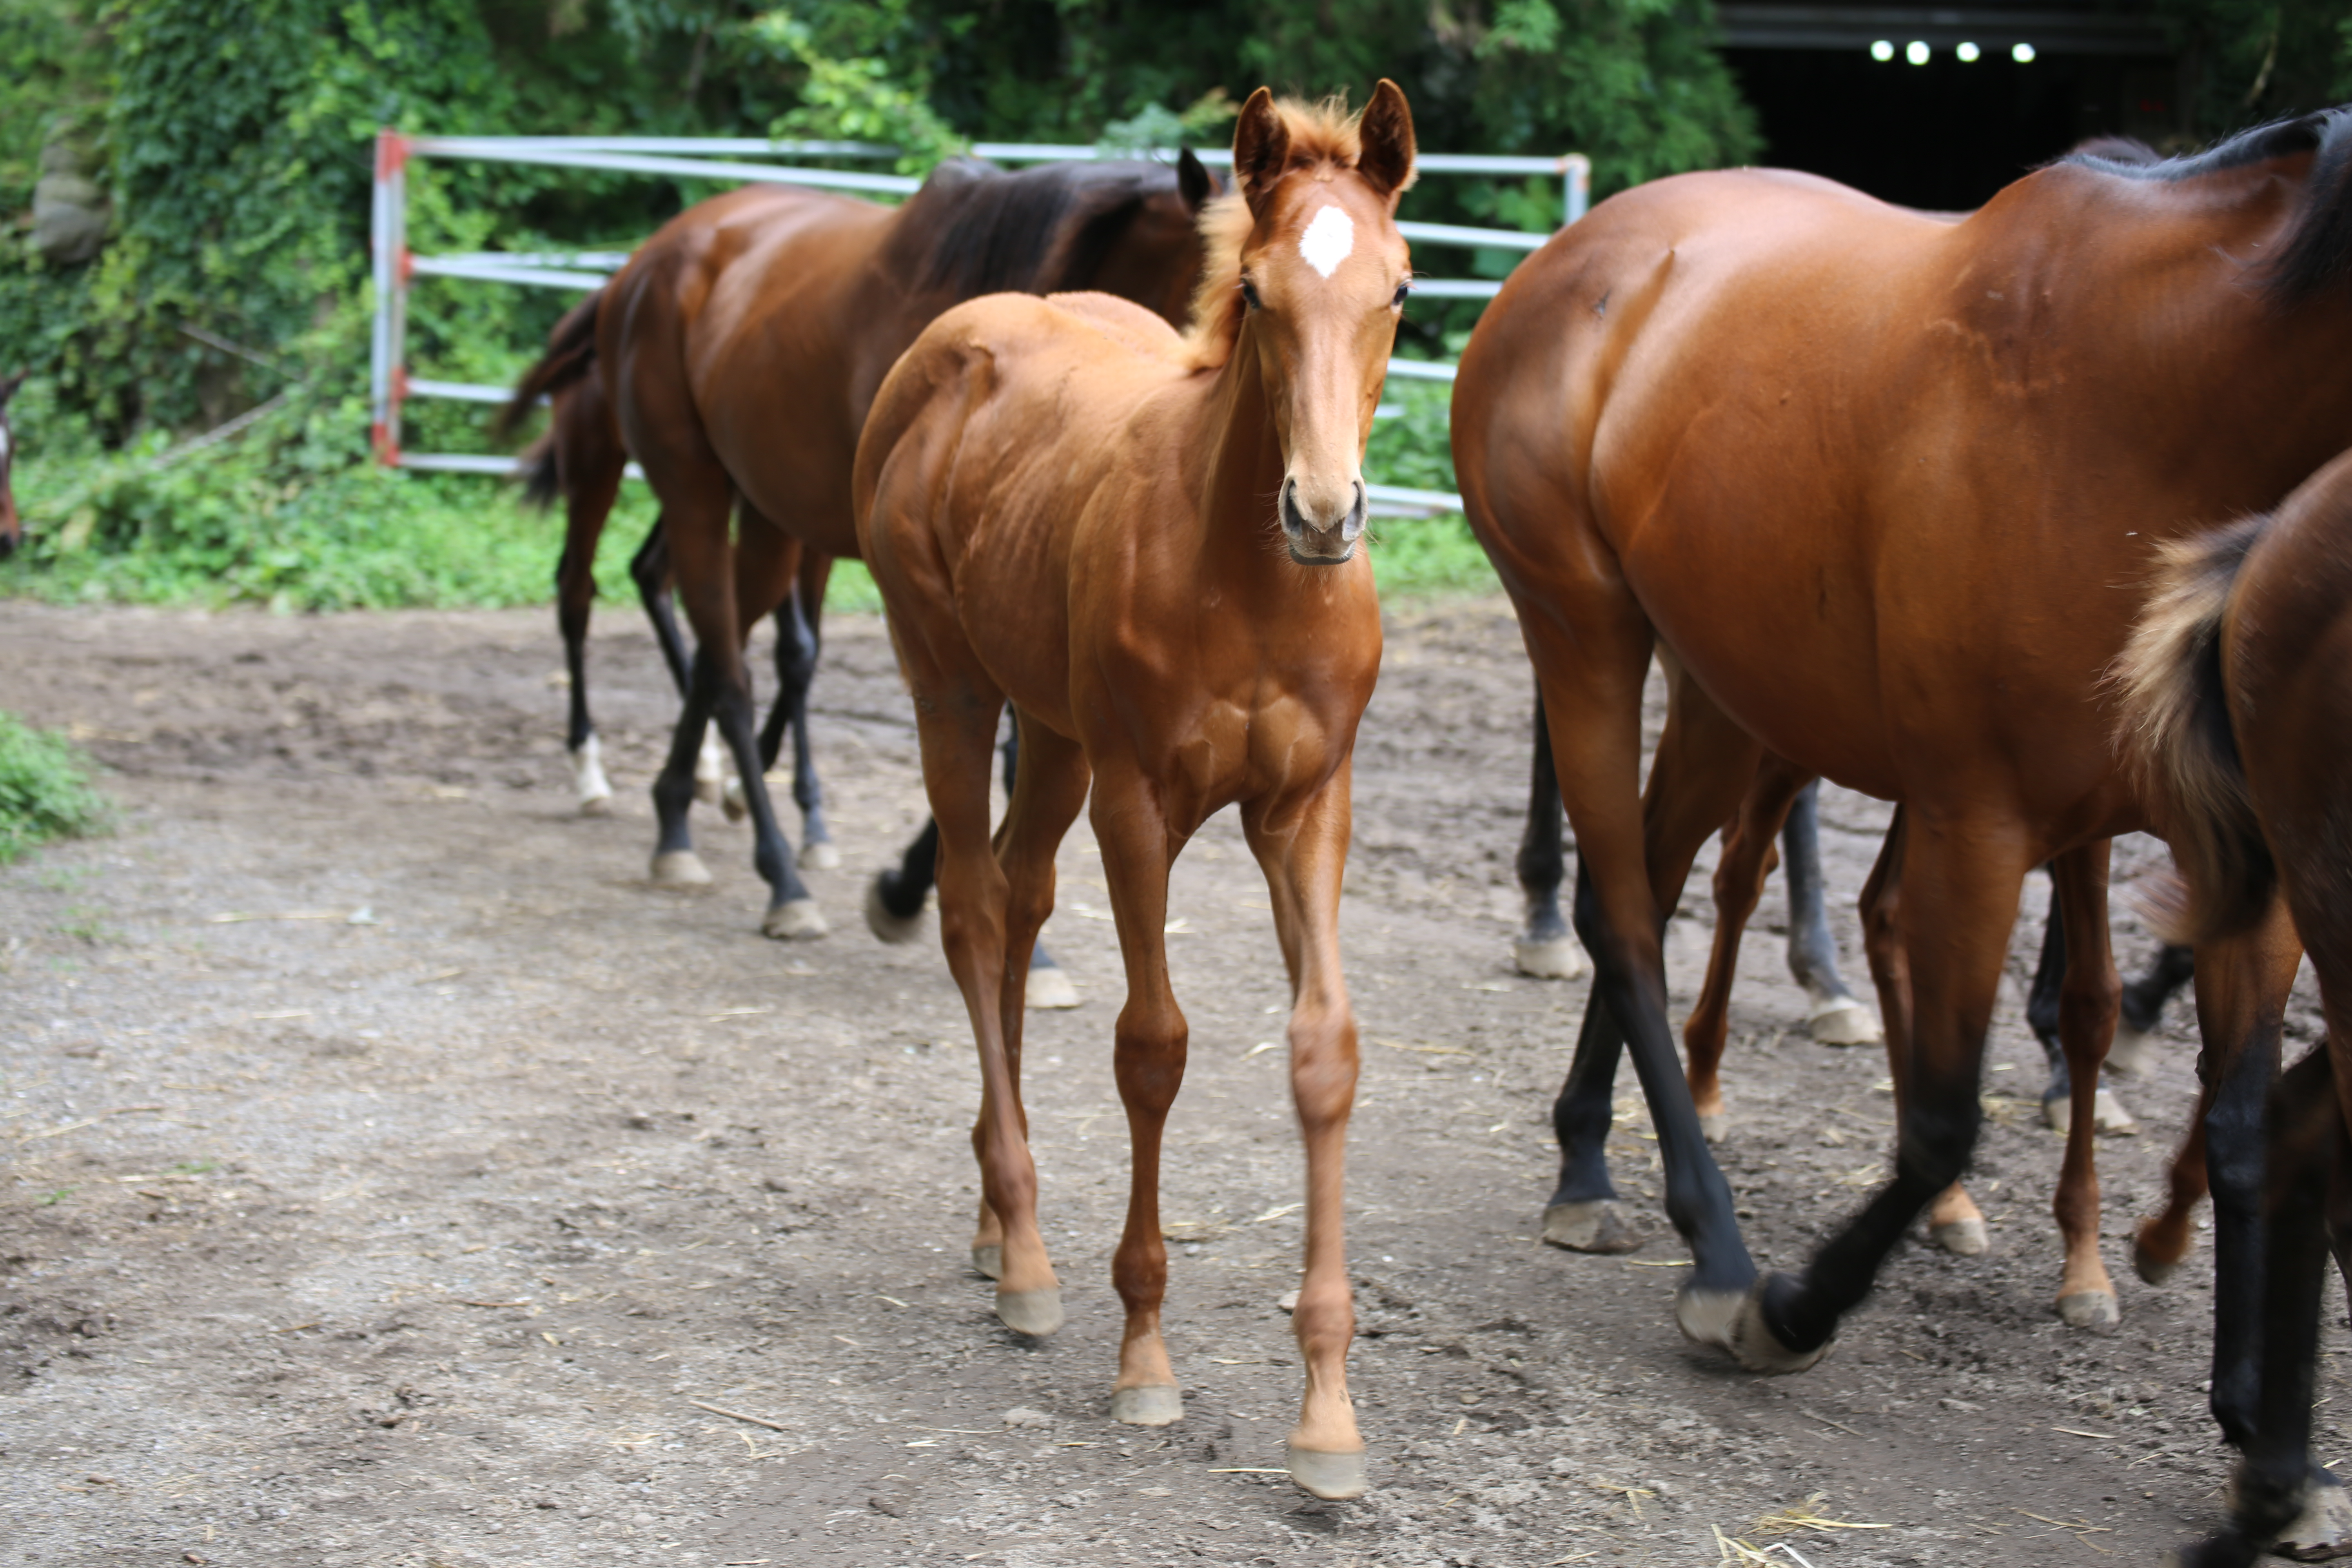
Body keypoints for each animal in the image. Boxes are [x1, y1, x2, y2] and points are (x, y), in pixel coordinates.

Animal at [508, 157, 1223, 940]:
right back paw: (756, 861)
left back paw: (687, 804)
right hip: (669, 482)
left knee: (705, 632)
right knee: (659, 632)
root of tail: (639, 267)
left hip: (762, 510)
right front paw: (915, 890)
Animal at [861, 82, 1411, 1495]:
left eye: (1397, 287)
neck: (1250, 580)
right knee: (972, 911)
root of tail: (961, 335)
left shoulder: (1308, 809)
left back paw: (994, 1220)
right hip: (955, 690)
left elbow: (1325, 1051)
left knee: (1018, 899)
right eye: (1260, 291)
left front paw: (1329, 1414)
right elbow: (1152, 1049)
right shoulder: (1140, 805)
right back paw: (1027, 1256)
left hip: (1052, 734)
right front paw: (1146, 1354)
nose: (1324, 511)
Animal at [1449, 107, 2352, 1448]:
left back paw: (1584, 1159)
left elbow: (2243, 1123)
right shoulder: (1981, 827)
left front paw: (2262, 1425)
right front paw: (1789, 1308)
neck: (2153, 399)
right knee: (1628, 917)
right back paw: (1715, 1250)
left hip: (1724, 693)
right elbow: (1938, 1123)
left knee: (1649, 891)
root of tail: (1570, 255)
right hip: (1586, 639)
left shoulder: (2248, 860)